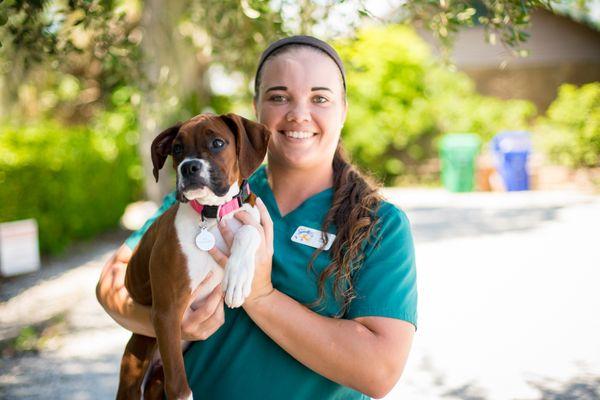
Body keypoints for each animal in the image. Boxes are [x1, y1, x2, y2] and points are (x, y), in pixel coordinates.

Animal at [115, 113, 270, 400]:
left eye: (218, 143)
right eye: (176, 149)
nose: (189, 167)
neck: (212, 214)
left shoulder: (252, 215)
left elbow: (249, 231)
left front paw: (237, 279)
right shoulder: (167, 312)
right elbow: (180, 389)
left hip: (156, 379)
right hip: (139, 358)